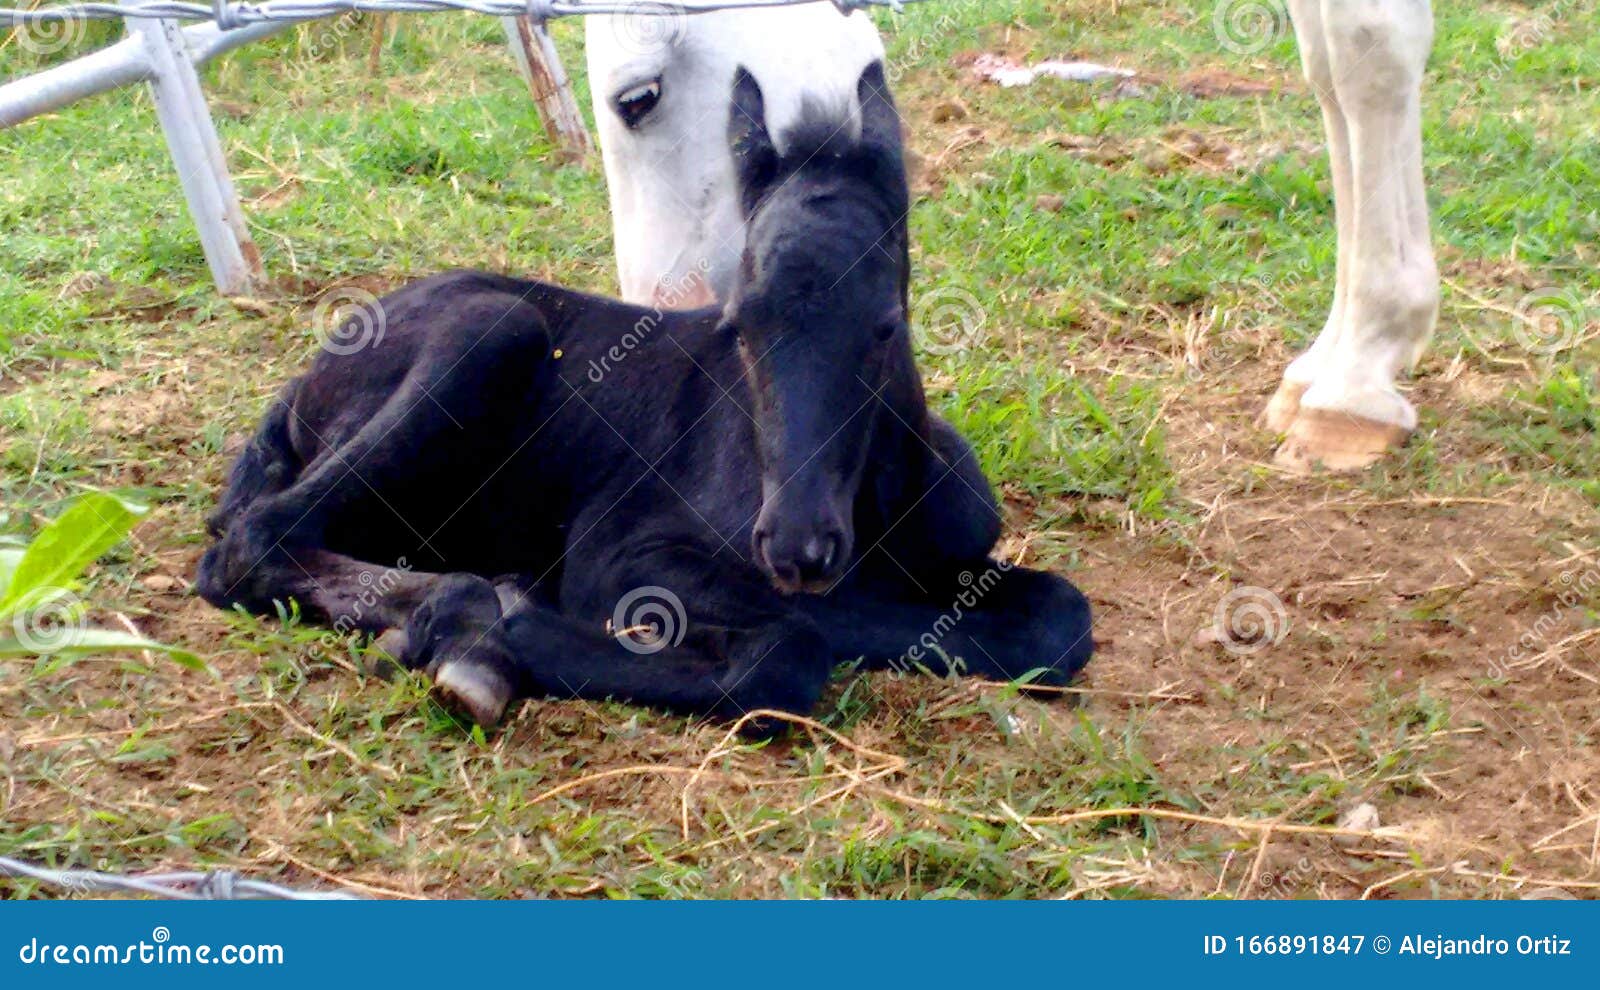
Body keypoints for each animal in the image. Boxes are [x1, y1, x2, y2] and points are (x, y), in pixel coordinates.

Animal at [196, 59, 1100, 729]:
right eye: (738, 325)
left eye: (885, 325)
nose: (797, 546)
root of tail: (304, 382)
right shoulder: (625, 555)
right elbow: (792, 649)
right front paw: (511, 632)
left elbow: (1058, 615)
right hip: (490, 332)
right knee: (249, 543)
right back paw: (470, 623)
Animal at [585, 0, 1440, 473]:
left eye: (638, 98)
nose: (666, 316)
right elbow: (1327, 68)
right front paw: (1330, 361)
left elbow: (1367, 49)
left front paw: (1357, 381)